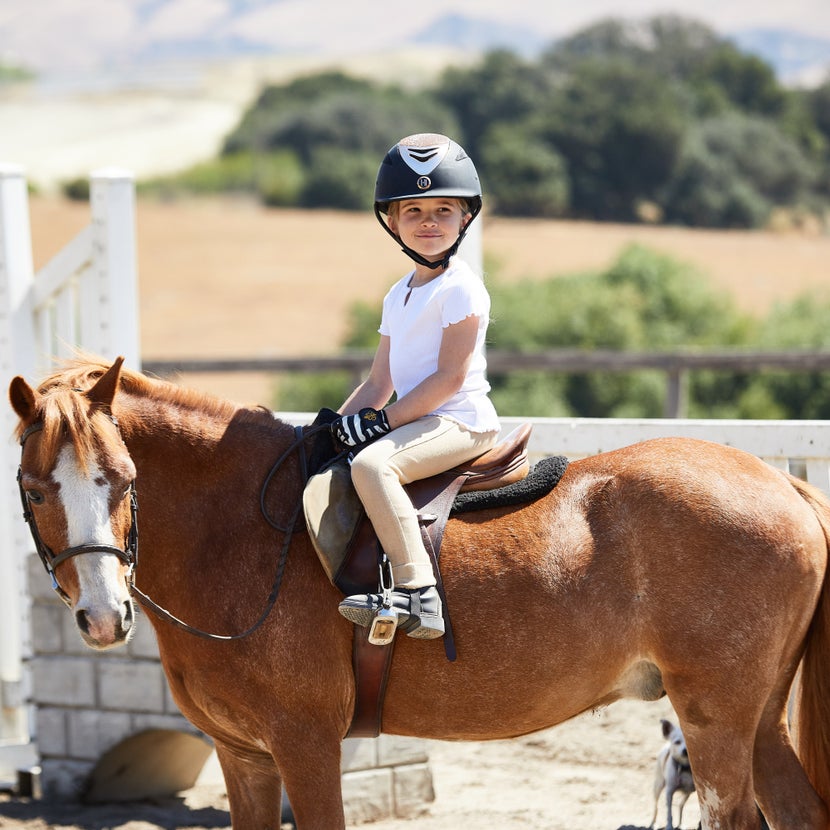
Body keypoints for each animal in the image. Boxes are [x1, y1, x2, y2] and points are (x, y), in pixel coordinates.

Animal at [8, 360, 830, 830]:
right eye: (34, 488)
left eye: (122, 479)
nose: (103, 615)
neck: (240, 529)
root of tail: (780, 482)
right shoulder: (244, 756)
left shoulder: (305, 746)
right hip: (755, 721)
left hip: (715, 719)